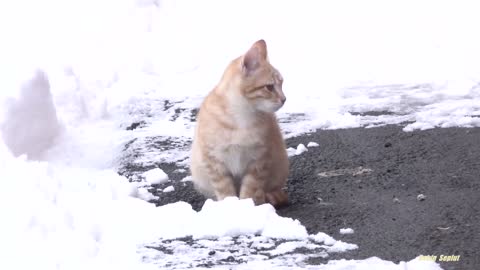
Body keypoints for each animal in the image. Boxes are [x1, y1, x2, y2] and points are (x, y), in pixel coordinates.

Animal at [189, 40, 288, 209]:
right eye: (269, 87)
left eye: (281, 84)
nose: (284, 99)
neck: (241, 118)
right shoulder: (214, 161)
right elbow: (225, 190)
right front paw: (232, 207)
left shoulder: (259, 160)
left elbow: (250, 189)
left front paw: (246, 207)